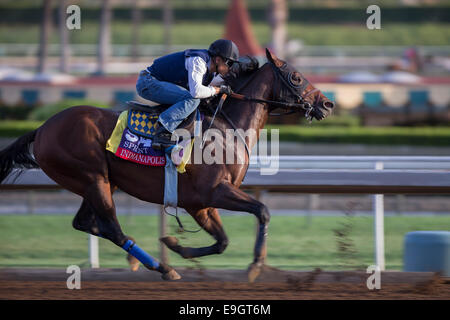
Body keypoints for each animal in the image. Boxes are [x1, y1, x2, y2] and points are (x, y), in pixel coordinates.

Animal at [0, 48, 334, 282]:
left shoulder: (199, 204)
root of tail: (42, 128)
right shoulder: (214, 191)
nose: (327, 104)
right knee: (113, 228)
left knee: (87, 223)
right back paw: (160, 267)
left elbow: (222, 242)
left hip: (98, 182)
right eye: (296, 77)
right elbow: (262, 211)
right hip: (93, 178)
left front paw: (176, 244)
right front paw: (254, 266)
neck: (227, 127)